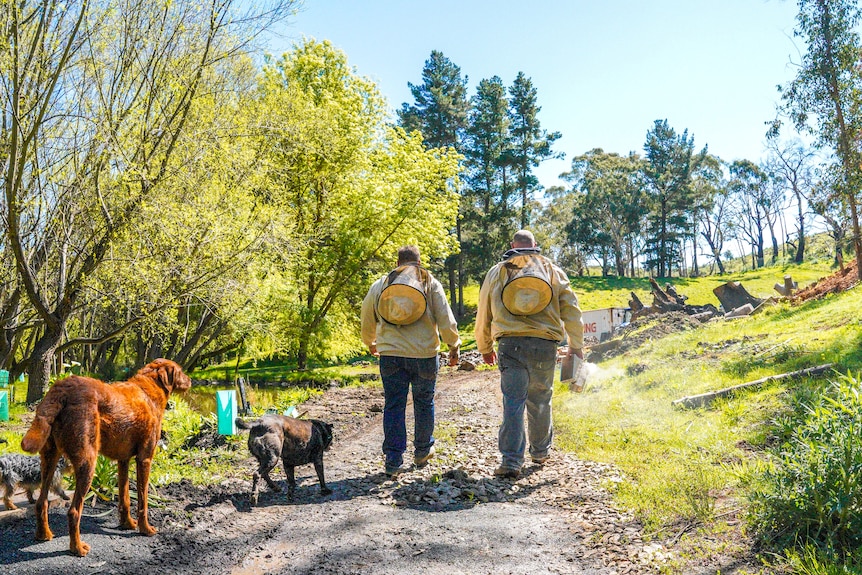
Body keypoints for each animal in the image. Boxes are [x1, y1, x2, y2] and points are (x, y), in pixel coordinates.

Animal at [19, 358, 192, 556]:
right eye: (180, 371)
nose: (190, 380)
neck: (150, 388)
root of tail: (62, 388)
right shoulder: (144, 459)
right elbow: (143, 501)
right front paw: (145, 529)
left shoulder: (123, 460)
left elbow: (125, 497)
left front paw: (127, 524)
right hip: (88, 463)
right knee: (74, 511)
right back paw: (77, 548)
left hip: (49, 460)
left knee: (41, 503)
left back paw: (44, 535)